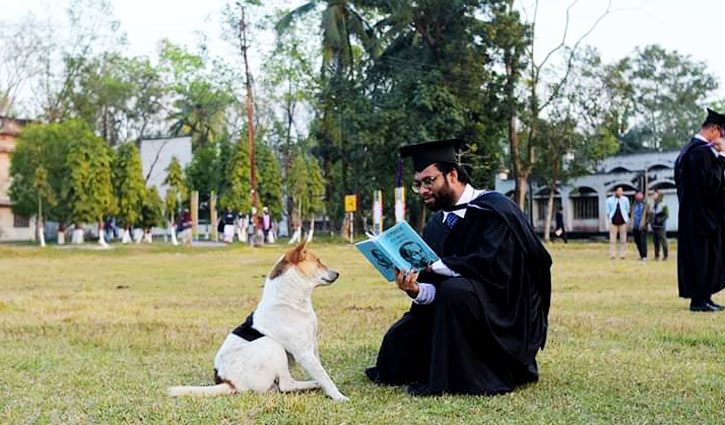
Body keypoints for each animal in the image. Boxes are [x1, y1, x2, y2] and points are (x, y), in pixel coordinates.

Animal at [170, 240, 350, 400]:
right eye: (318, 261)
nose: (338, 274)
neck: (289, 299)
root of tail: (228, 382)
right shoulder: (304, 353)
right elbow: (324, 376)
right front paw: (338, 396)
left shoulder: (313, 344)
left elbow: (321, 371)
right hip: (272, 345)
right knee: (286, 385)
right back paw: (313, 384)